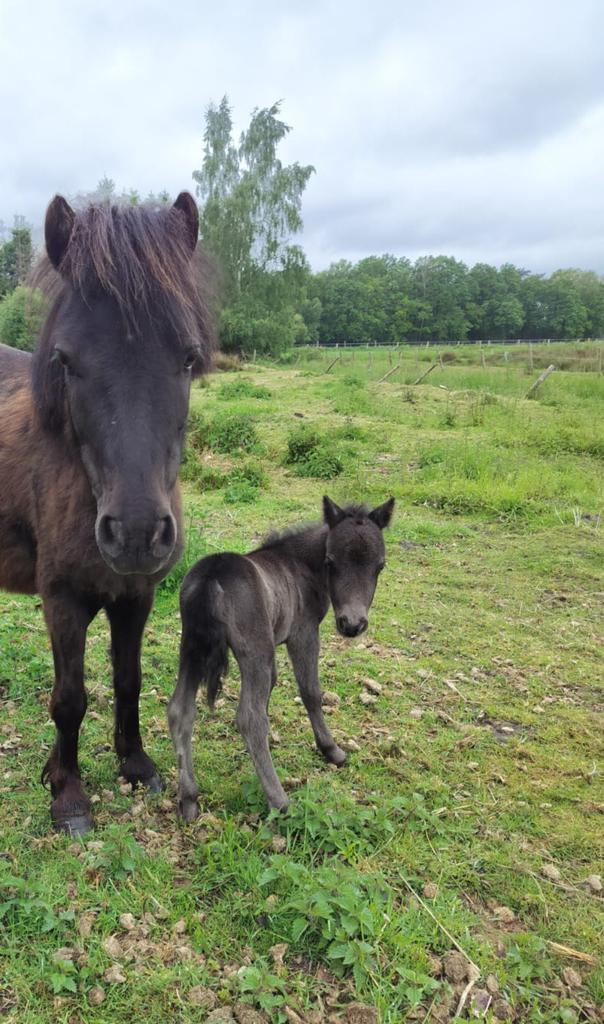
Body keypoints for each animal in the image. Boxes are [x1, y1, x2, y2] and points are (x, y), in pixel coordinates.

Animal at [0, 193, 215, 834]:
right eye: (66, 360)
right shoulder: (62, 599)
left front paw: (134, 763)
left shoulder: (136, 595)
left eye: (189, 358)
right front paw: (68, 793)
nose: (138, 533)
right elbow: (69, 697)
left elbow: (128, 679)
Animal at [168, 495, 394, 819]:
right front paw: (331, 749)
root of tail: (212, 578)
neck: (300, 566)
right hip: (253, 650)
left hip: (192, 648)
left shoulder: (271, 646)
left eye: (380, 565)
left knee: (180, 711)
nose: (352, 624)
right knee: (249, 718)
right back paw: (279, 800)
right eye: (330, 562)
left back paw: (188, 798)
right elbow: (310, 693)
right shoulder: (303, 634)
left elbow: (272, 687)